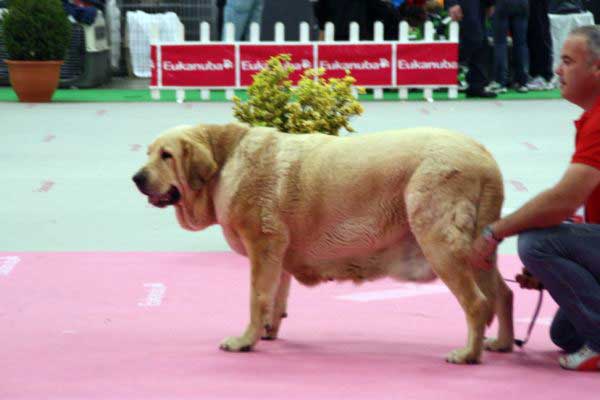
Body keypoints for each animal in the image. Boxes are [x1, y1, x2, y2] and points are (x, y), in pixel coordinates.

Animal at [134, 123, 512, 364]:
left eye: (167, 155)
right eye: (149, 152)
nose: (136, 177)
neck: (224, 160)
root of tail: (483, 156)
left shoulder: (263, 245)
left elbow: (257, 297)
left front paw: (245, 340)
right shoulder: (278, 252)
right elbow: (276, 295)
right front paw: (269, 330)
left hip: (438, 242)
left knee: (477, 303)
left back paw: (468, 354)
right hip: (479, 251)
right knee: (503, 294)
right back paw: (502, 343)